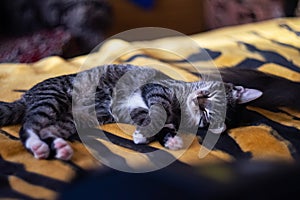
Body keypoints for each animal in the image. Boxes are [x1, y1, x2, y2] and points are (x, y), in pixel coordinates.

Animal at [0, 65, 262, 160]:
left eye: (208, 115)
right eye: (210, 95)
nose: (199, 100)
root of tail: (26, 96)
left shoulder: (133, 111)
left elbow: (157, 123)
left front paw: (169, 139)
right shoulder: (155, 89)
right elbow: (157, 113)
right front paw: (149, 134)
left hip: (68, 120)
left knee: (46, 129)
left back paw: (59, 148)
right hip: (52, 98)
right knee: (28, 127)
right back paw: (38, 146)